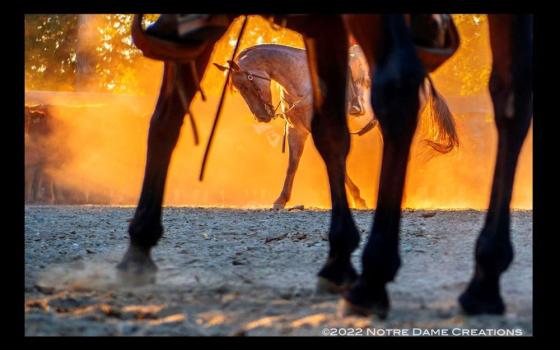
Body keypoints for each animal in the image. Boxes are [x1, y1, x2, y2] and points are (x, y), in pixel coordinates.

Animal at [222, 42, 460, 209]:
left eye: (246, 83)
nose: (262, 116)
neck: (302, 80)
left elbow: (337, 163)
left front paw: (356, 198)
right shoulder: (296, 130)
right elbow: (293, 165)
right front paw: (281, 200)